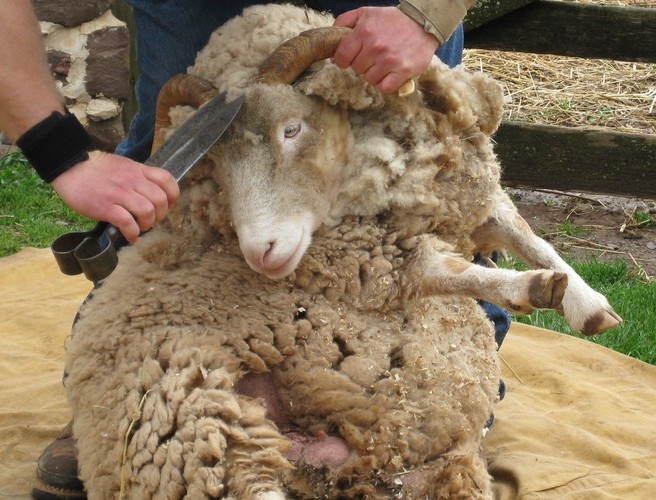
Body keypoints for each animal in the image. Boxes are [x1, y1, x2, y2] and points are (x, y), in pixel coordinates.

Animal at [63, 3, 621, 499]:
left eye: (292, 129)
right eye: (216, 165)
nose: (259, 253)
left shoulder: (468, 205)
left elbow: (529, 235)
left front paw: (588, 305)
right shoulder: (360, 262)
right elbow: (445, 268)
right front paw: (531, 288)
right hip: (188, 421)